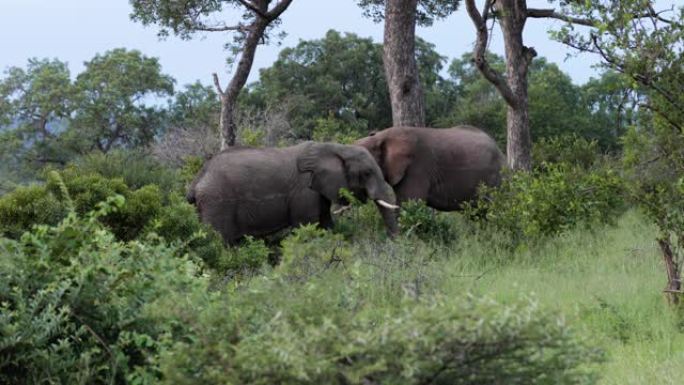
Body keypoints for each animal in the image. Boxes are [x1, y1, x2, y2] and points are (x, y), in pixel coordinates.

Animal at [187, 140, 400, 243]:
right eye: (367, 173)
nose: (391, 241)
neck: (335, 147)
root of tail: (198, 179)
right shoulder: (303, 192)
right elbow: (306, 225)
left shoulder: (317, 188)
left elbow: (326, 223)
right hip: (217, 202)